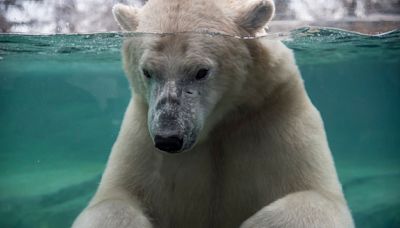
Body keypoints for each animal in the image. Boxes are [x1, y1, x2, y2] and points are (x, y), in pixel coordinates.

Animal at [72, 0, 354, 228]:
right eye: (148, 71)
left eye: (201, 71)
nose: (168, 138)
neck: (217, 125)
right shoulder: (142, 134)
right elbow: (114, 199)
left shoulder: (274, 114)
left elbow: (315, 195)